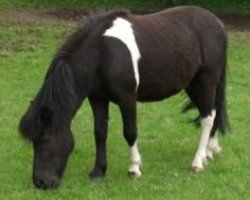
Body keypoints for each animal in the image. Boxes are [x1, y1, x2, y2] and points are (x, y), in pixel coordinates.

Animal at [19, 5, 230, 189]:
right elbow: (100, 132)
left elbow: (130, 132)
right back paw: (210, 151)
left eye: (45, 139)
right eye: (33, 141)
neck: (102, 53)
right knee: (212, 112)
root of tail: (217, 23)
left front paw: (134, 168)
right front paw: (98, 171)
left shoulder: (127, 98)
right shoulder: (97, 98)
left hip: (206, 80)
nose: (41, 182)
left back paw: (197, 162)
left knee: (207, 117)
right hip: (193, 85)